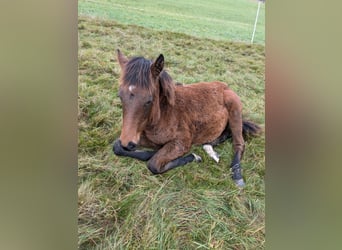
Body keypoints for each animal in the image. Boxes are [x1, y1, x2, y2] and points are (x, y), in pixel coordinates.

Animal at [113, 49, 260, 187]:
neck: (164, 114)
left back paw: (237, 174)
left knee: (239, 143)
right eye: (120, 95)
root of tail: (226, 87)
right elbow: (117, 147)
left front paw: (194, 157)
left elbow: (153, 164)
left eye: (149, 100)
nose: (128, 143)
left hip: (235, 111)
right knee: (224, 134)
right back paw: (210, 149)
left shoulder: (182, 142)